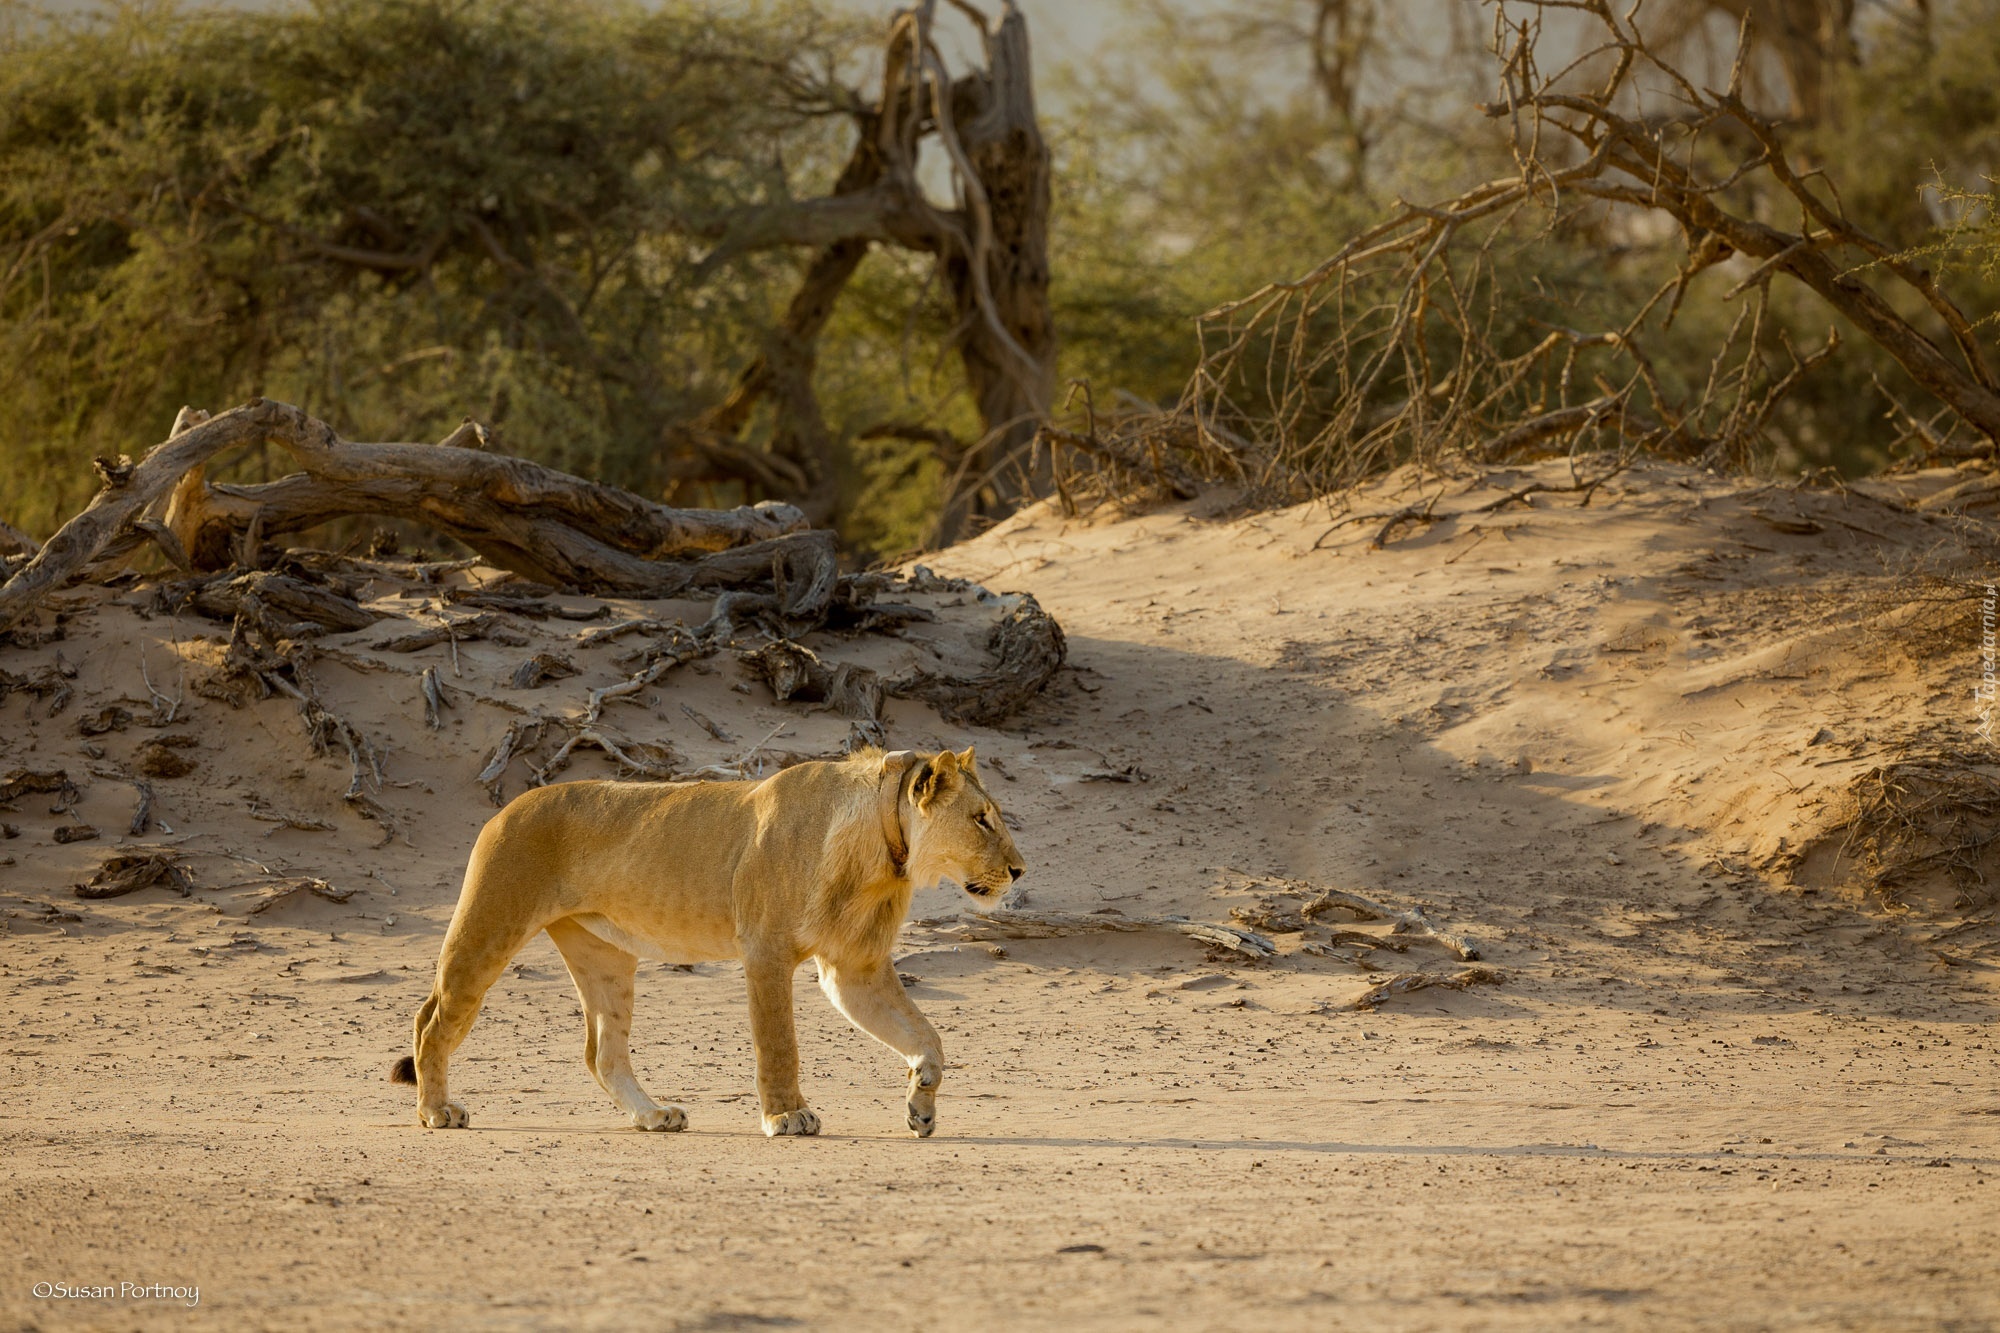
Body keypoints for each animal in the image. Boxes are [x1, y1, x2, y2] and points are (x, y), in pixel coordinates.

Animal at [388, 740, 1024, 1136]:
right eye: (982, 819)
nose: (1020, 871)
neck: (886, 853)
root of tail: (509, 804)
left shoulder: (853, 969)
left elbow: (926, 1036)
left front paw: (922, 1102)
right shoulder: (765, 950)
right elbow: (779, 1044)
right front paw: (787, 1118)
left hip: (605, 956)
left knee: (603, 1053)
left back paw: (653, 1116)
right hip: (489, 925)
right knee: (431, 1021)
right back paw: (437, 1111)